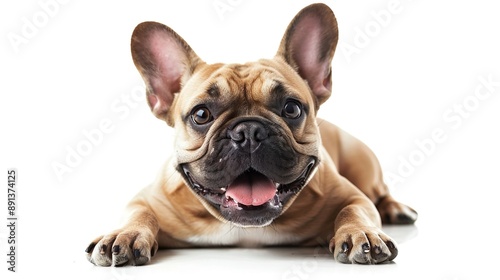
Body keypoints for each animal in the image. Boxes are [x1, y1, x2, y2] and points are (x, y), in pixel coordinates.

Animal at [86, 3, 418, 266]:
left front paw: (361, 233)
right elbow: (137, 214)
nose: (248, 131)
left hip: (363, 165)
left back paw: (396, 209)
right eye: (201, 115)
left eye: (292, 109)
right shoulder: (147, 199)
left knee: (379, 192)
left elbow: (355, 210)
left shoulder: (351, 195)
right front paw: (124, 234)